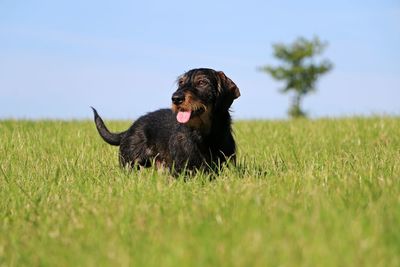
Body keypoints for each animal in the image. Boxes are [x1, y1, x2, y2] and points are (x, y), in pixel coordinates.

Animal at [91, 68, 241, 175]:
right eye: (181, 83)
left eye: (202, 82)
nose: (176, 98)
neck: (204, 135)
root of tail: (129, 129)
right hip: (130, 162)